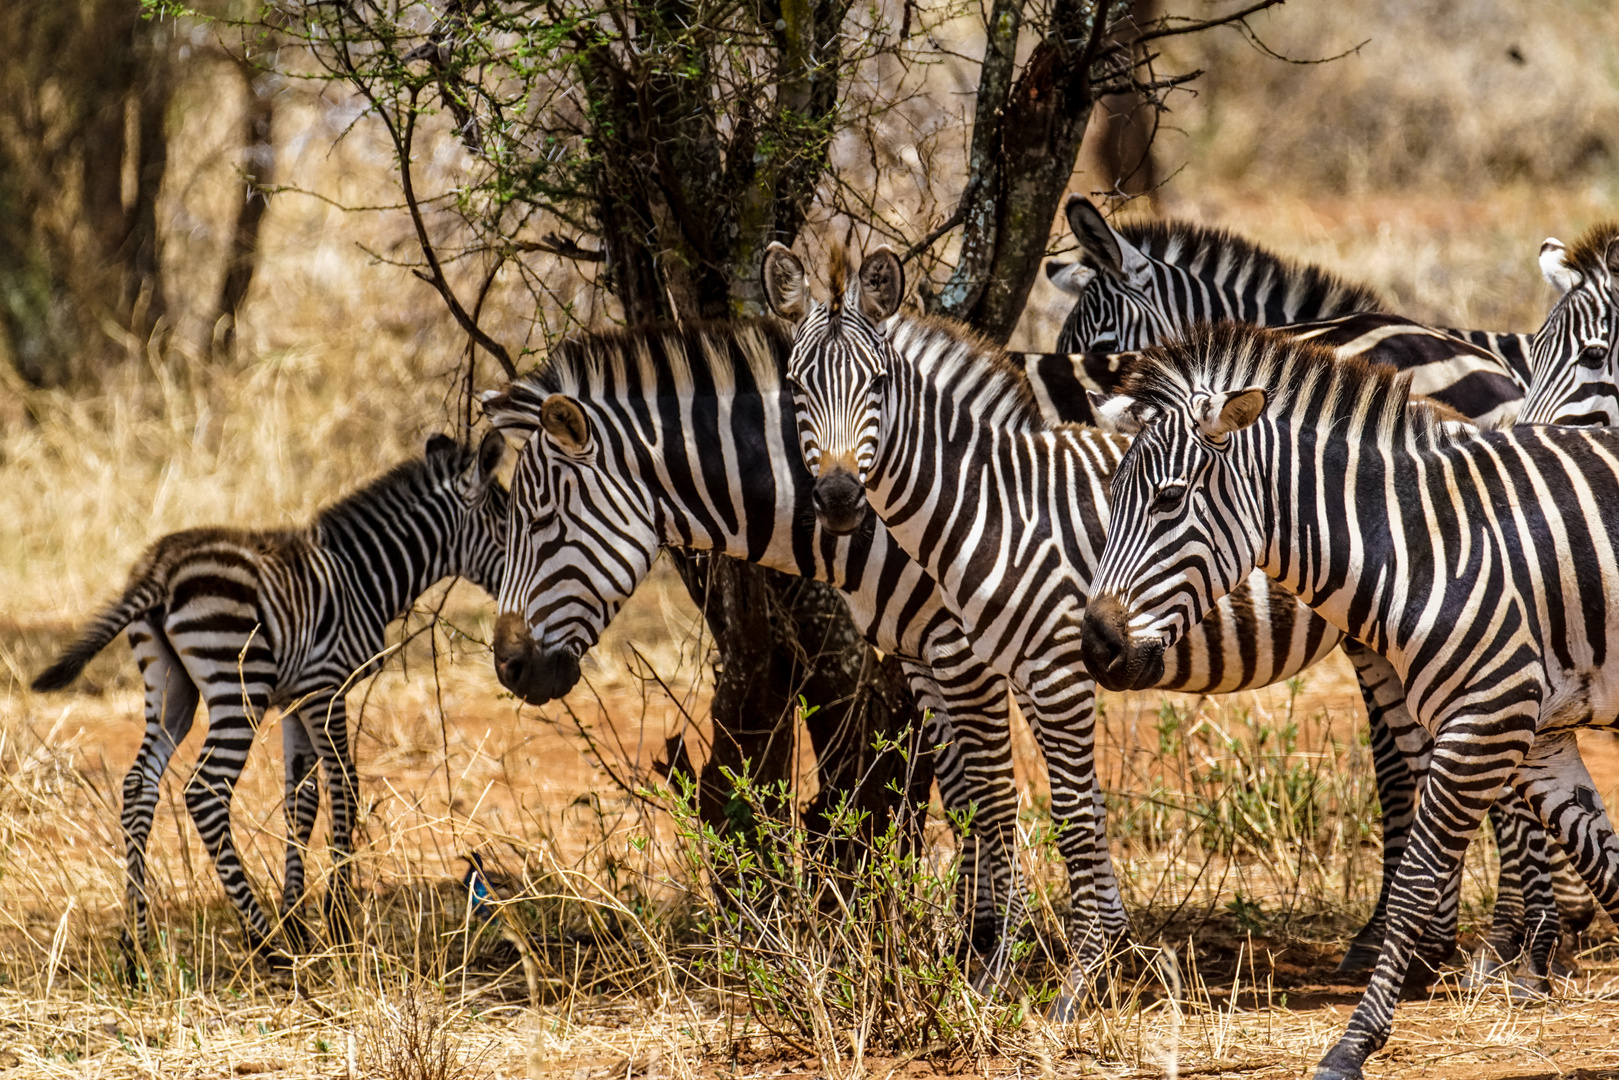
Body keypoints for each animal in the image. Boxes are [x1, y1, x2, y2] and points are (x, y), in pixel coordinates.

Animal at [33, 433, 511, 965]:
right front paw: (337, 925)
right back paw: (265, 944)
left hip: (170, 687)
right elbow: (344, 789)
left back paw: (135, 945)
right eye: (509, 521)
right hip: (238, 687)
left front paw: (299, 922)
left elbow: (300, 801)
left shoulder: (295, 699)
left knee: (139, 785)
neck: (362, 576)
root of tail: (159, 569)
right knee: (205, 791)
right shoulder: (326, 688)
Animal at [764, 241, 1586, 1010]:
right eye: (796, 386)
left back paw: (1514, 959)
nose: (837, 498)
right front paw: (1016, 955)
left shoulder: (1017, 663)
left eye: (875, 385)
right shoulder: (962, 661)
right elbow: (1000, 801)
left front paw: (1033, 968)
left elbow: (1037, 807)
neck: (990, 500)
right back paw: (1450, 952)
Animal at [1075, 323, 1619, 1080]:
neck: (1427, 547)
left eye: (1168, 500)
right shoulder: (1541, 738)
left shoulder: (1485, 722)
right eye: (1116, 496)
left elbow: (1415, 882)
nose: (1096, 647)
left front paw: (1353, 1043)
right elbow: (1608, 866)